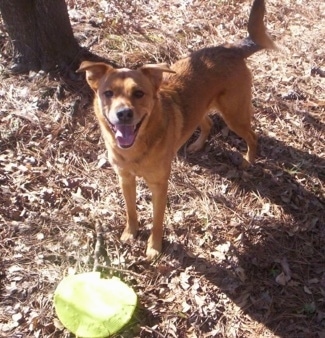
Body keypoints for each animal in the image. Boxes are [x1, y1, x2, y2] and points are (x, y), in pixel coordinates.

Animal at [76, 0, 276, 260]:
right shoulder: (125, 179)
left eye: (139, 93)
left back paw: (248, 160)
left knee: (252, 135)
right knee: (207, 123)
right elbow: (130, 210)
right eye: (108, 93)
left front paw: (154, 247)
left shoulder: (159, 186)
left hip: (235, 115)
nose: (124, 114)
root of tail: (232, 49)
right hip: (205, 109)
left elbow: (157, 220)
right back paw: (197, 145)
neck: (137, 148)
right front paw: (130, 233)